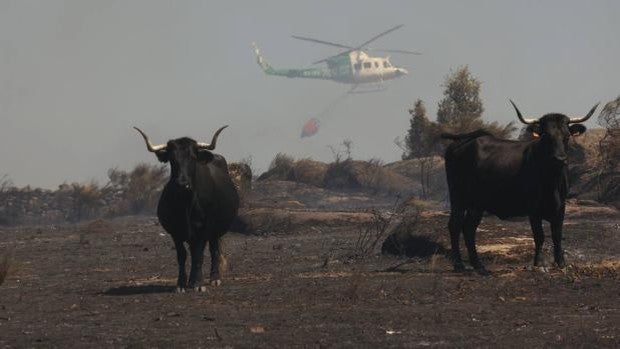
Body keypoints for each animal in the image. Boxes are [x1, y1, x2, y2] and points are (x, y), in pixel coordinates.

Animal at [134, 125, 239, 290]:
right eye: (172, 159)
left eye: (192, 158)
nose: (182, 184)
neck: (187, 204)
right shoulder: (175, 232)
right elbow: (182, 256)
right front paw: (181, 284)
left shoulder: (203, 229)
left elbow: (199, 256)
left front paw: (198, 283)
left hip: (216, 232)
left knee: (214, 251)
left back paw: (214, 278)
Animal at [444, 101, 600, 274]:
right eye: (547, 136)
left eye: (567, 136)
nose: (560, 159)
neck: (551, 182)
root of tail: (464, 140)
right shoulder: (534, 209)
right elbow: (539, 236)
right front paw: (539, 263)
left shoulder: (561, 207)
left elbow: (557, 235)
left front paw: (561, 263)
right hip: (458, 197)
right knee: (455, 225)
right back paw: (459, 264)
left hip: (476, 204)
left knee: (468, 228)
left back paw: (479, 266)